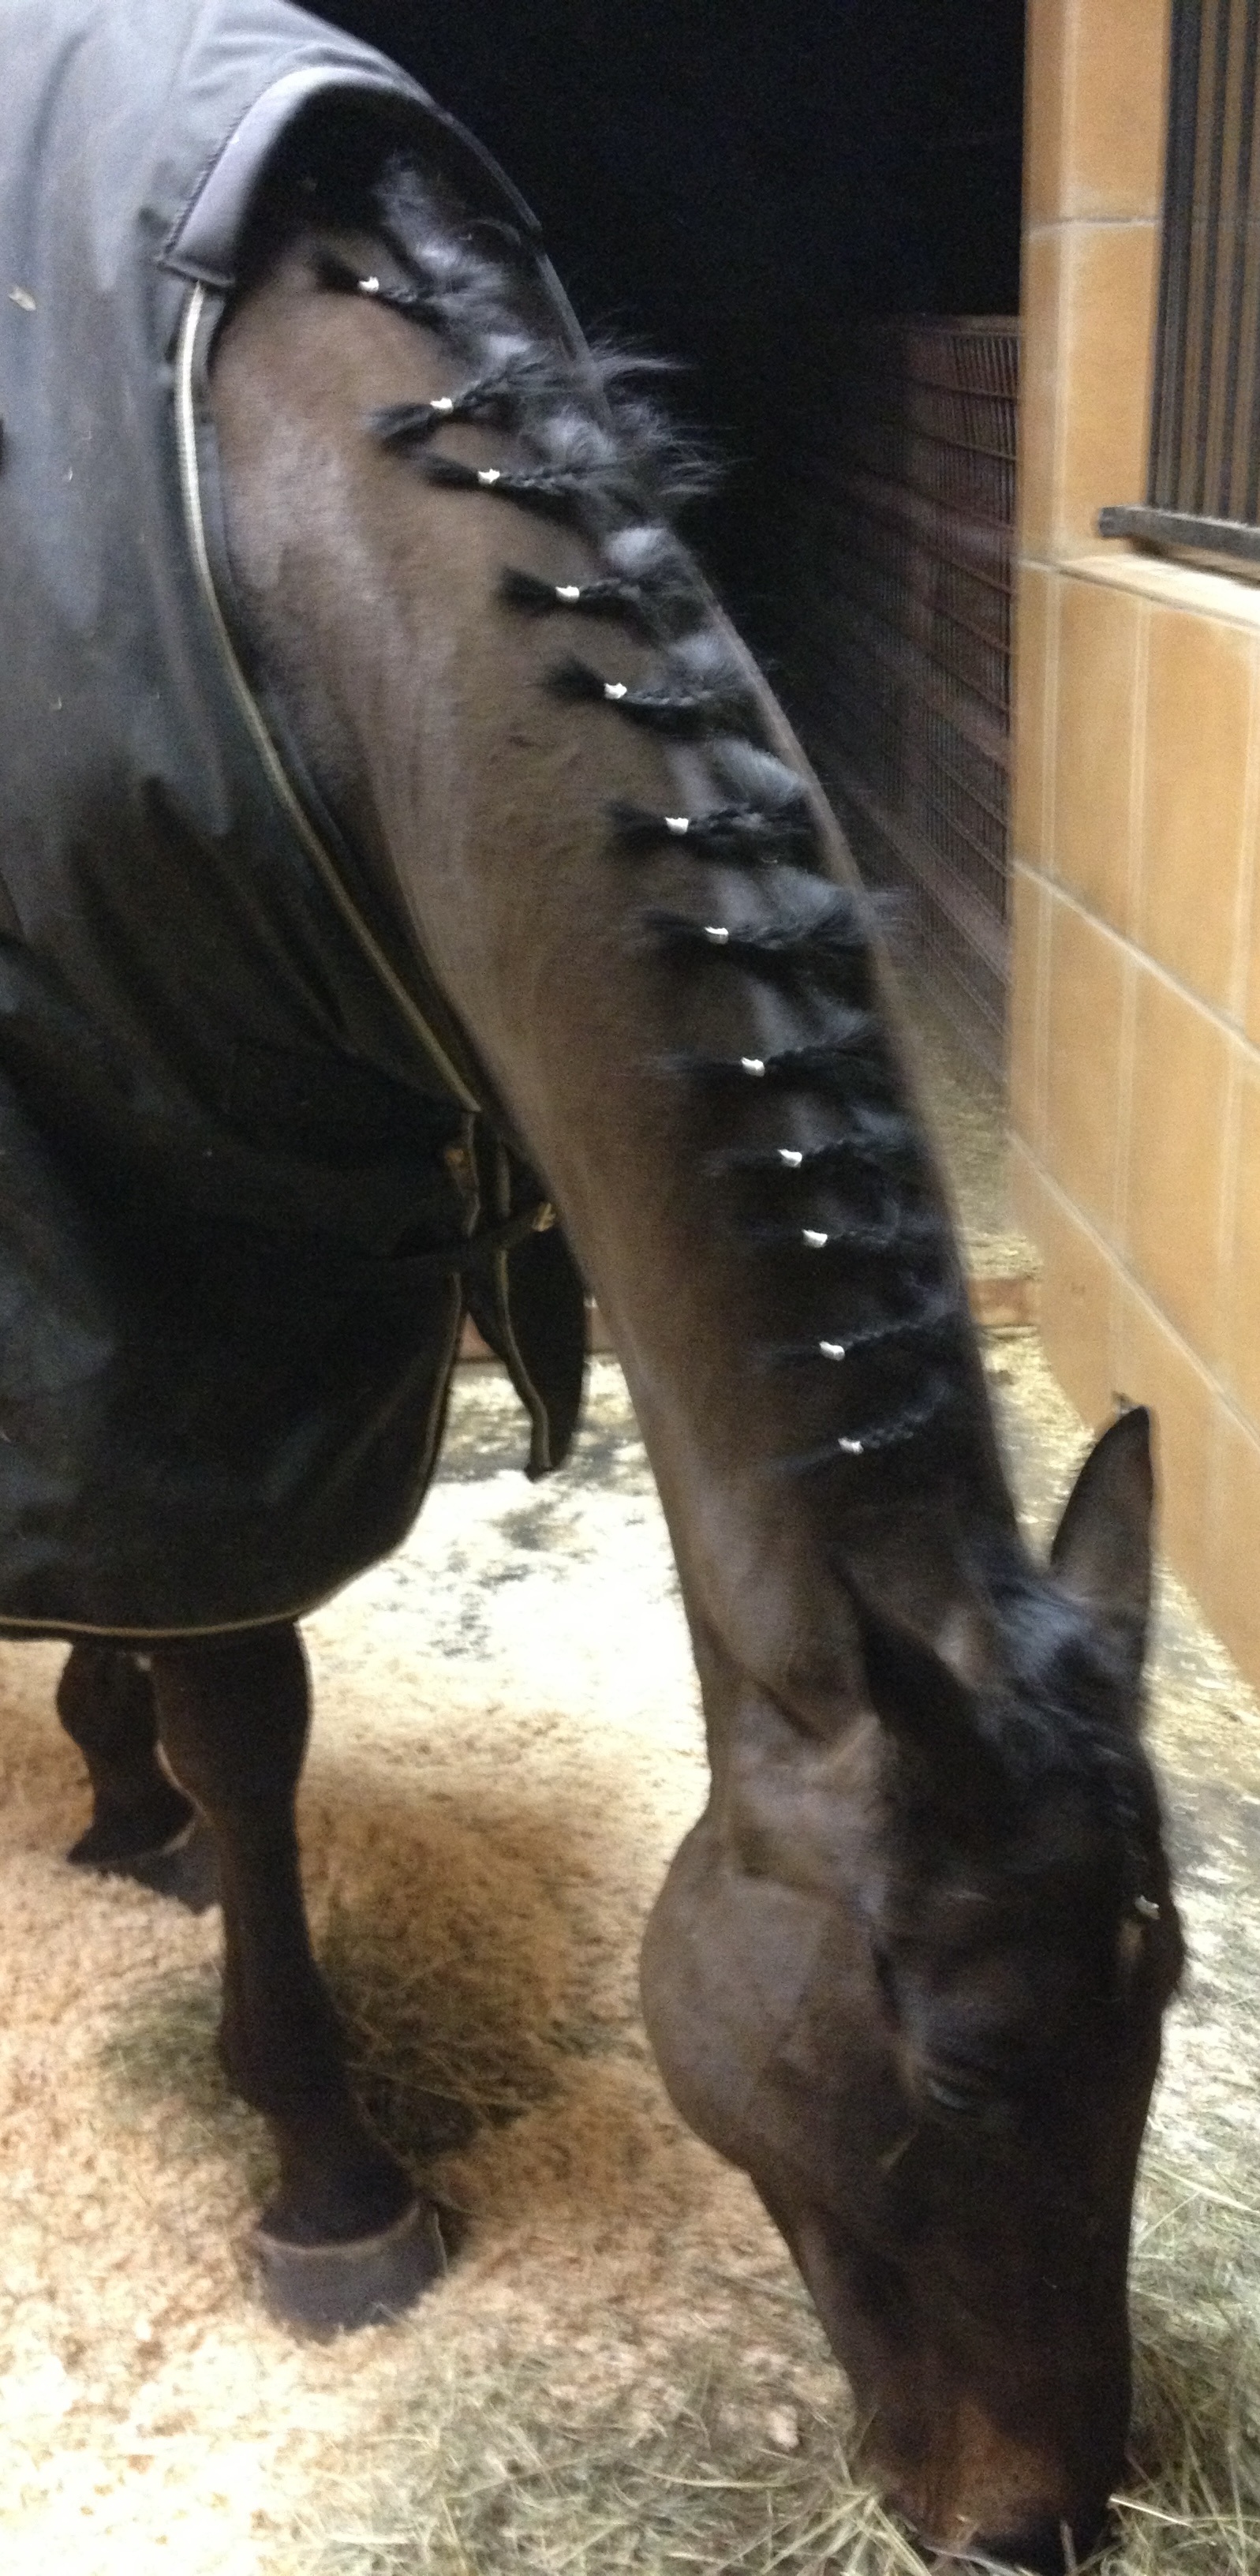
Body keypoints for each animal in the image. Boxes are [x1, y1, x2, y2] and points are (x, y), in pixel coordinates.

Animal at [1, 5, 1183, 2566]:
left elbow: (197, 1615)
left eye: (1166, 1992)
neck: (260, 490)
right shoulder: (135, 1187)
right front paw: (329, 2176)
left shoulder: (265, 1225)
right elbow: (252, 1699)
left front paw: (145, 1811)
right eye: (960, 2065)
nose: (1034, 2517)